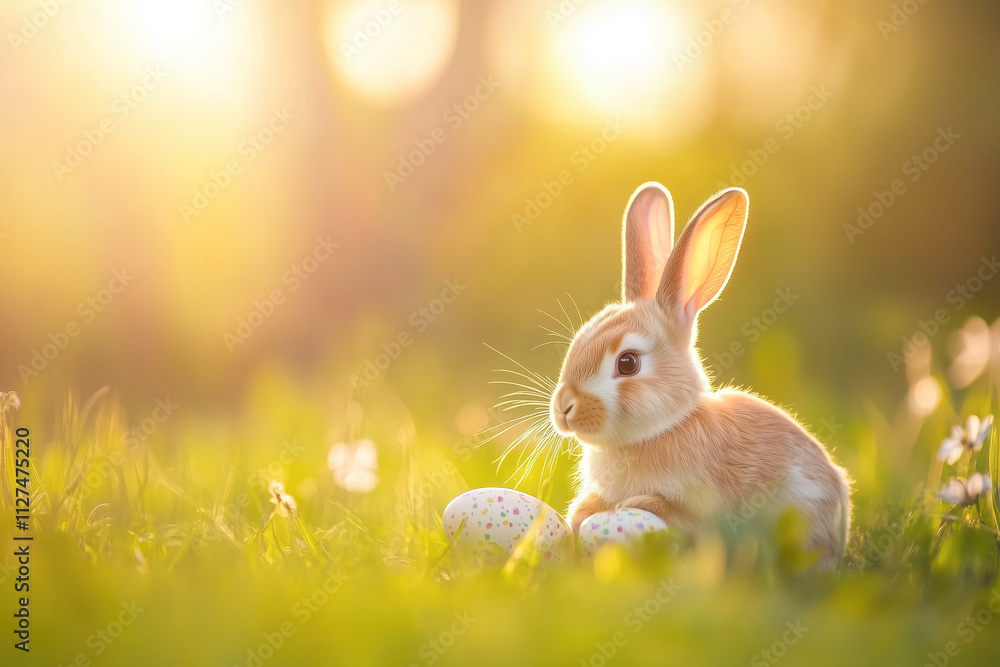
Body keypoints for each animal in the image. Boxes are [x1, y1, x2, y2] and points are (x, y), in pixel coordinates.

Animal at [550, 182, 851, 569]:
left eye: (628, 363)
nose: (564, 408)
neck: (664, 429)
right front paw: (580, 517)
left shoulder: (706, 506)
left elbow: (684, 517)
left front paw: (639, 506)